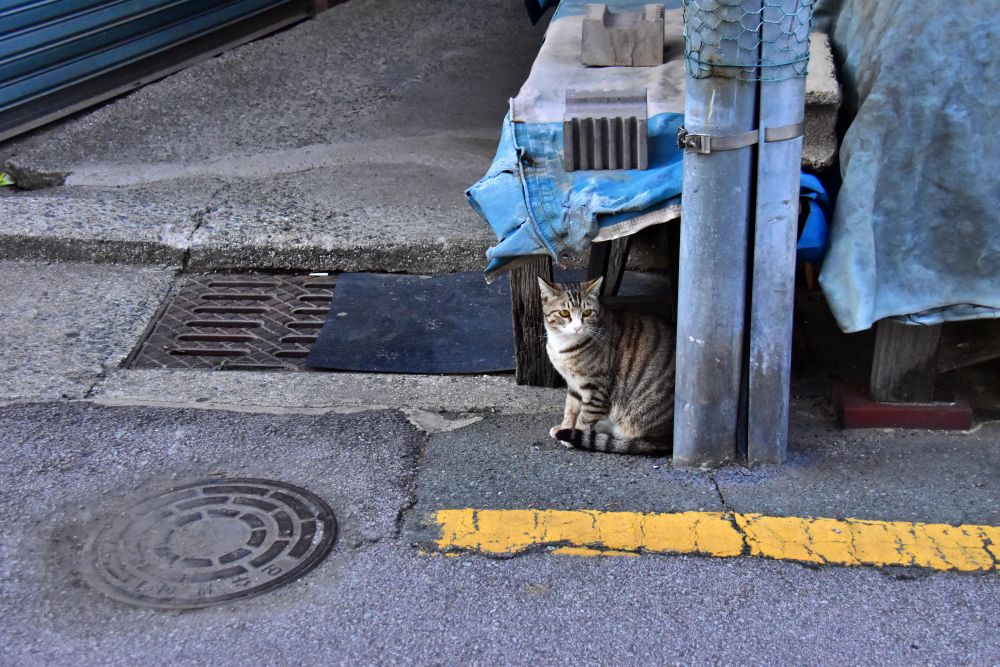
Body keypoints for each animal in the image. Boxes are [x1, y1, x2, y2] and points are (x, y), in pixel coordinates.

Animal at [540, 276, 672, 454]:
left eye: (587, 313)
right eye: (564, 313)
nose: (577, 327)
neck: (563, 345)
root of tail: (669, 439)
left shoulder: (596, 389)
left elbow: (585, 416)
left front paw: (573, 435)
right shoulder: (573, 384)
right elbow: (570, 408)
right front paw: (565, 426)